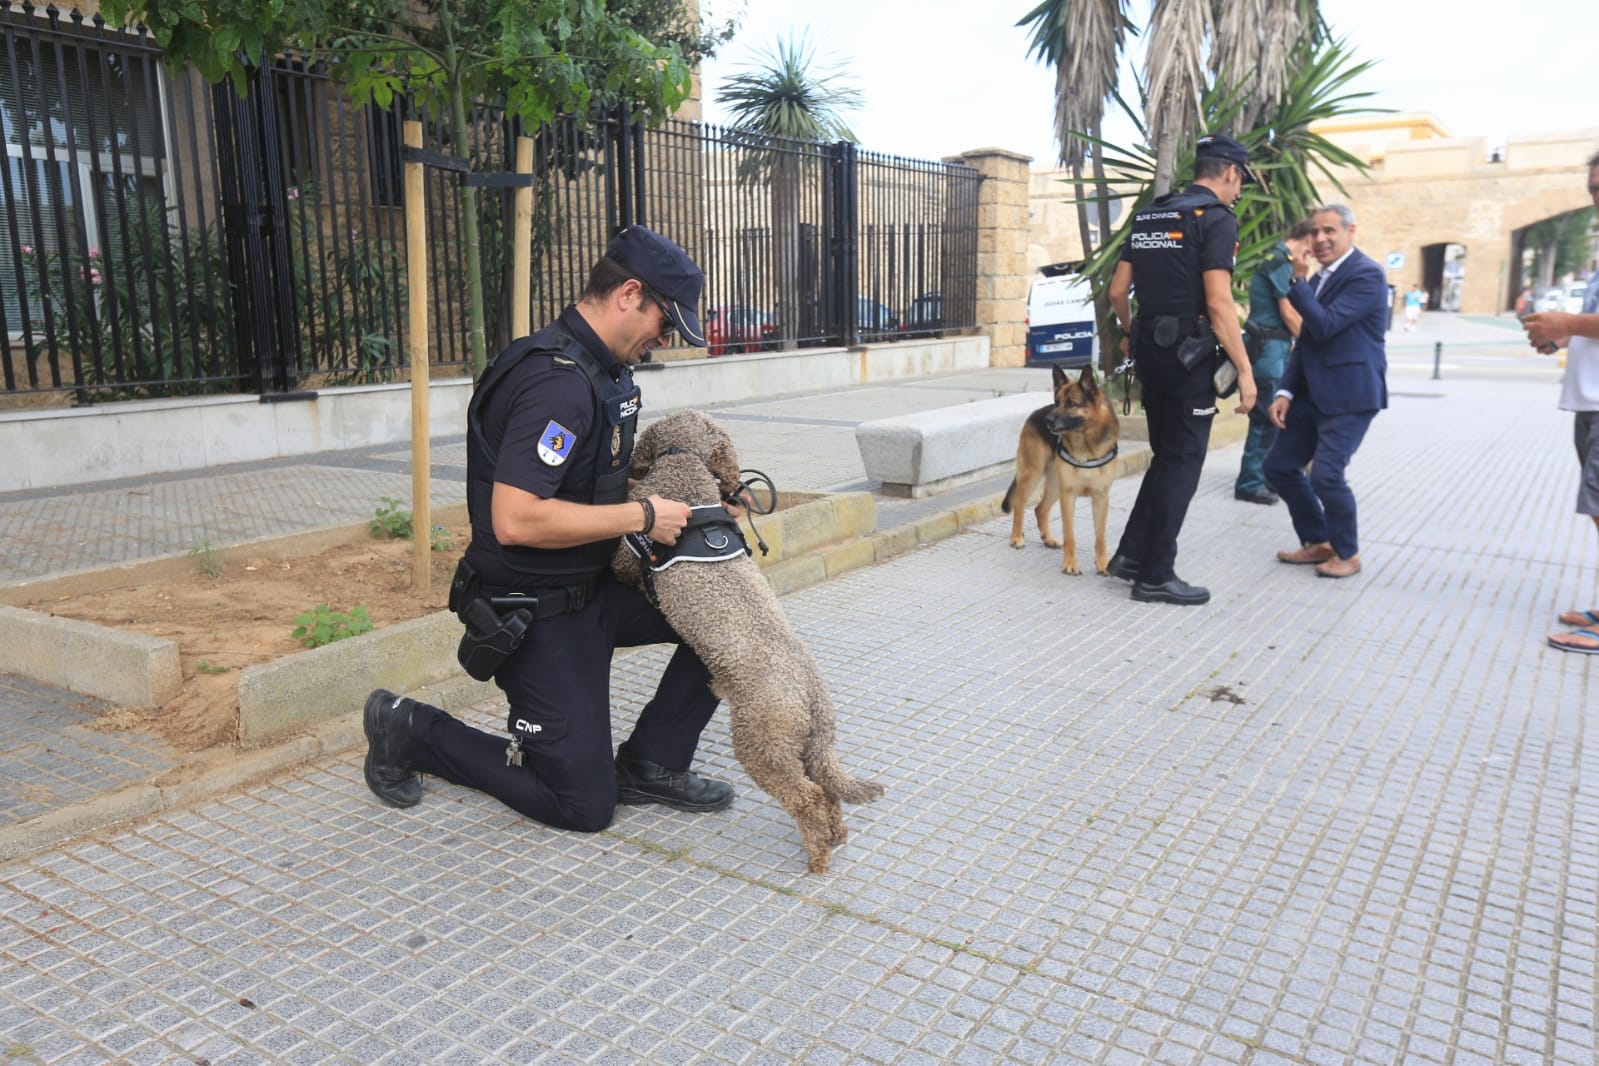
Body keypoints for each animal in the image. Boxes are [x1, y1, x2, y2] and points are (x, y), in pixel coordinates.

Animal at [610, 412, 889, 875]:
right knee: (826, 789)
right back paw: (836, 835)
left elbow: (620, 565)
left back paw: (817, 857)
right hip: (811, 748)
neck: (685, 465)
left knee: (807, 796)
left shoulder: (632, 549)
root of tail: (812, 698)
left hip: (761, 745)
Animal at [997, 364, 1125, 575]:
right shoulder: (1068, 496)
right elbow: (1070, 535)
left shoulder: (1101, 497)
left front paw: (1103, 563)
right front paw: (1070, 564)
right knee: (1020, 504)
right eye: (1056, 402)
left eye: (1071, 403)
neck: (1085, 443)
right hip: (1032, 475)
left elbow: (1100, 537)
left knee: (1040, 509)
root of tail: (1036, 412)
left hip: (1056, 484)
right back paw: (1016, 537)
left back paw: (1047, 538)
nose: (1048, 421)